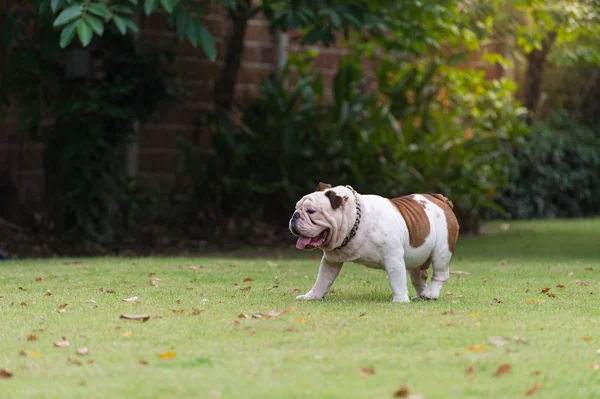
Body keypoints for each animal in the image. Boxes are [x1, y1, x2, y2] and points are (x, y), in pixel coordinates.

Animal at [290, 184, 460, 304]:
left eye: (311, 211)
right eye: (296, 208)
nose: (294, 216)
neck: (355, 221)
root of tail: (439, 199)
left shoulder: (393, 258)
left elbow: (397, 280)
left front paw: (400, 300)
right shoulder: (331, 261)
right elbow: (322, 280)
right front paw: (312, 296)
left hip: (442, 252)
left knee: (440, 274)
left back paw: (431, 293)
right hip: (417, 257)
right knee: (418, 277)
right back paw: (422, 295)